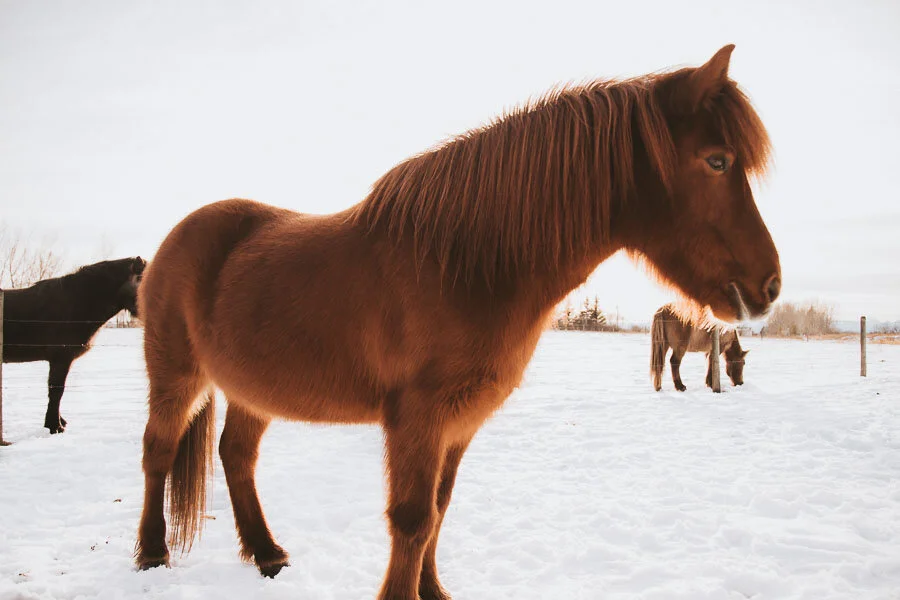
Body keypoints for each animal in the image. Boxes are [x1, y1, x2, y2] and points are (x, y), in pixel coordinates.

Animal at [135, 44, 780, 600]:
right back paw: (151, 554)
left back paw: (267, 553)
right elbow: (412, 519)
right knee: (158, 452)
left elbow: (439, 512)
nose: (769, 287)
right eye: (717, 161)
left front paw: (433, 591)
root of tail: (178, 237)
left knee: (236, 455)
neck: (467, 264)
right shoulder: (417, 420)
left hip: (253, 389)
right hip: (175, 377)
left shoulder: (461, 421)